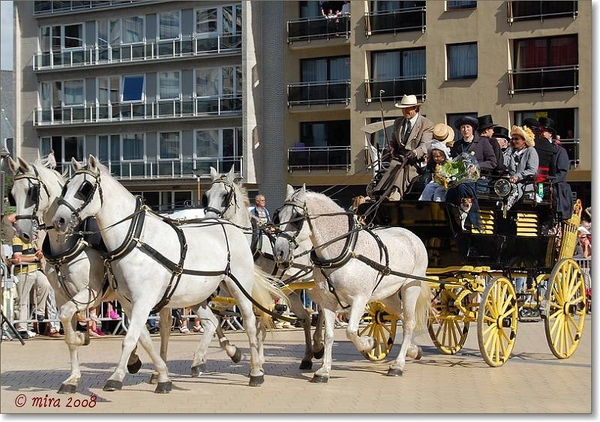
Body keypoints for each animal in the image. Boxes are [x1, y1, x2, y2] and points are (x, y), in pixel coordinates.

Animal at [203, 166, 326, 368]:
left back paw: (318, 346)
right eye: (206, 196)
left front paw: (258, 359)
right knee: (306, 318)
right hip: (291, 291)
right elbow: (217, 315)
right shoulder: (227, 292)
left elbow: (258, 322)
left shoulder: (258, 291)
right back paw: (307, 356)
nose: (208, 222)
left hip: (314, 284)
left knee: (323, 309)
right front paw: (233, 352)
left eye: (225, 195)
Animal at [272, 185, 432, 382]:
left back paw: (398, 365)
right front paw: (324, 370)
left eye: (296, 218)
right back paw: (413, 350)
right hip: (388, 296)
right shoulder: (328, 301)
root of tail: (411, 235)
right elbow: (329, 335)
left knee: (409, 322)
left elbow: (351, 331)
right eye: (278, 217)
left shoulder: (360, 299)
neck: (342, 251)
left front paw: (369, 343)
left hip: (411, 287)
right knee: (402, 315)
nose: (279, 252)